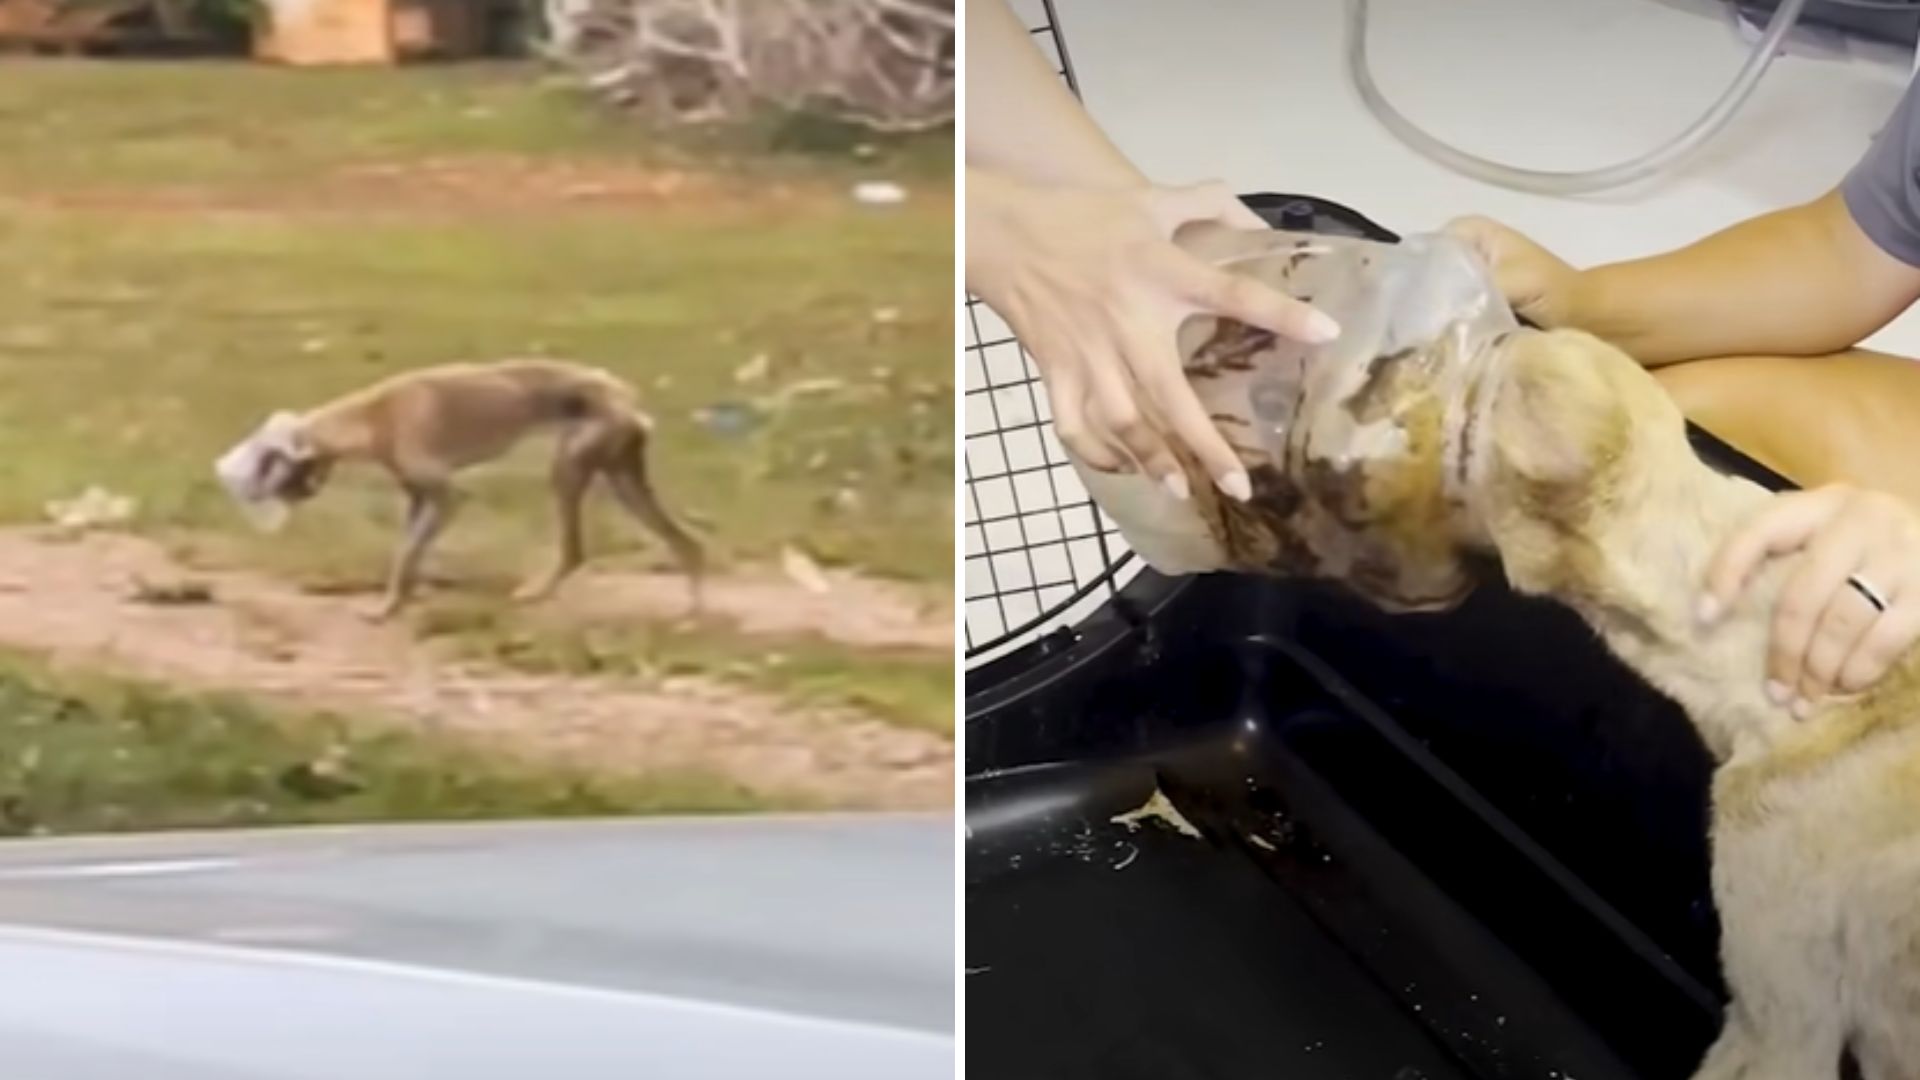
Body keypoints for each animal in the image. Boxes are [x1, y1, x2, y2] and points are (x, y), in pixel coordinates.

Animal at [214, 357, 706, 618]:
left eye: (266, 463)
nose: (256, 497)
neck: (373, 415)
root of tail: (626, 399)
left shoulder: (447, 498)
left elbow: (408, 553)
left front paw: (387, 609)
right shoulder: (418, 499)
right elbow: (406, 555)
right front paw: (397, 602)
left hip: (568, 472)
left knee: (575, 550)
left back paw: (536, 593)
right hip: (622, 478)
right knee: (687, 542)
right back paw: (692, 610)